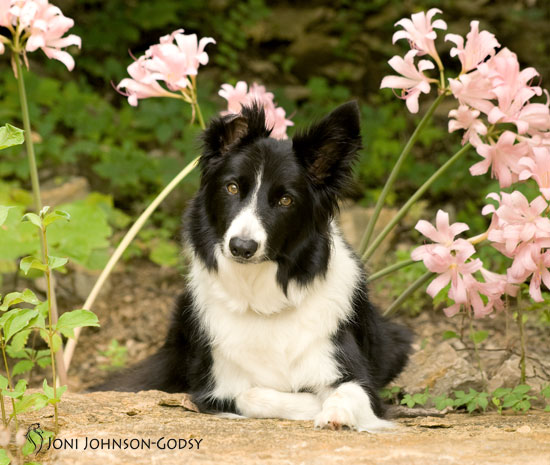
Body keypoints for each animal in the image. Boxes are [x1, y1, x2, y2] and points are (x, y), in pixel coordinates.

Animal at [97, 101, 412, 432]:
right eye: (232, 188)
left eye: (285, 200)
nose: (242, 247)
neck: (262, 300)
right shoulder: (214, 388)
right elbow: (254, 394)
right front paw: (313, 403)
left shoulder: (349, 368)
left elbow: (352, 391)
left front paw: (334, 412)